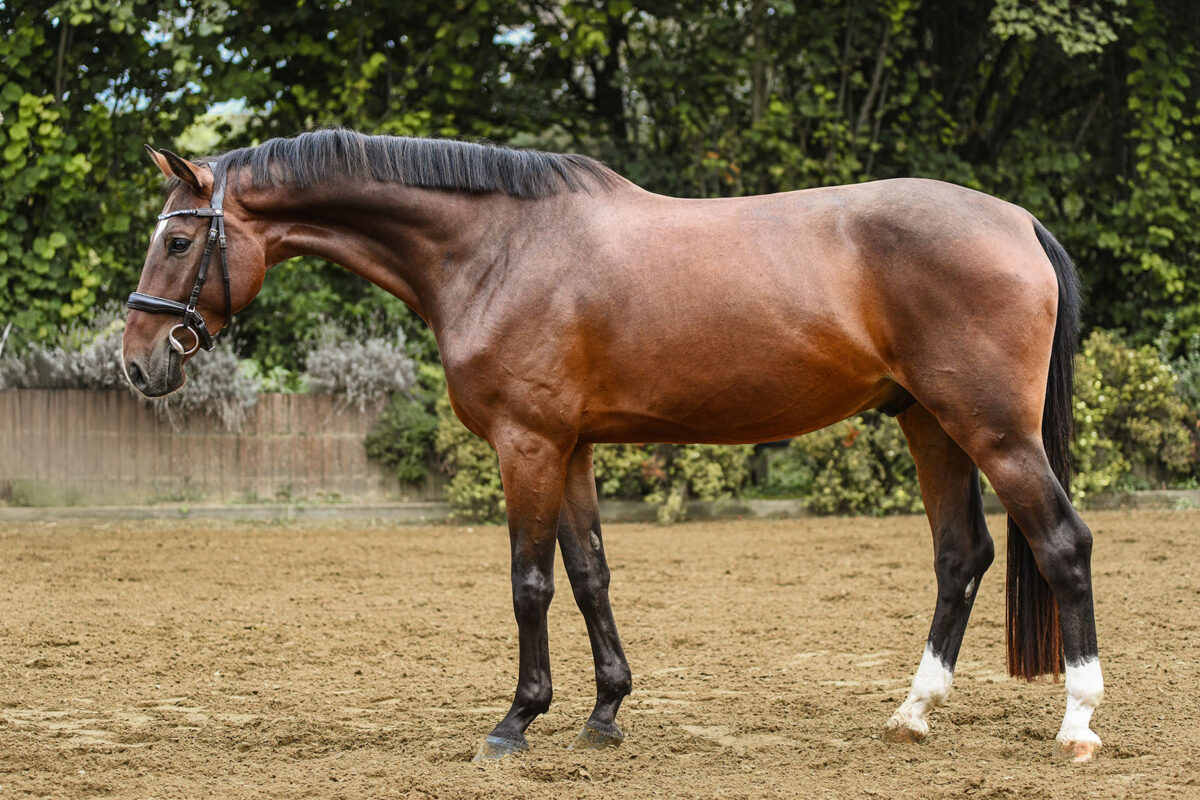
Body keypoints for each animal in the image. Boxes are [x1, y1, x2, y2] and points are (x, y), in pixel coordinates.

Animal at [121, 130, 1104, 762]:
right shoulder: (572, 448)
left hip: (993, 431)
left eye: (179, 238)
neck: (499, 249)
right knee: (961, 555)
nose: (137, 360)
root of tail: (1016, 220)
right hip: (930, 423)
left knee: (1062, 544)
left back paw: (1078, 723)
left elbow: (530, 581)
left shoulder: (526, 445)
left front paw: (516, 722)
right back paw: (913, 713)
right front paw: (604, 714)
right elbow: (590, 573)